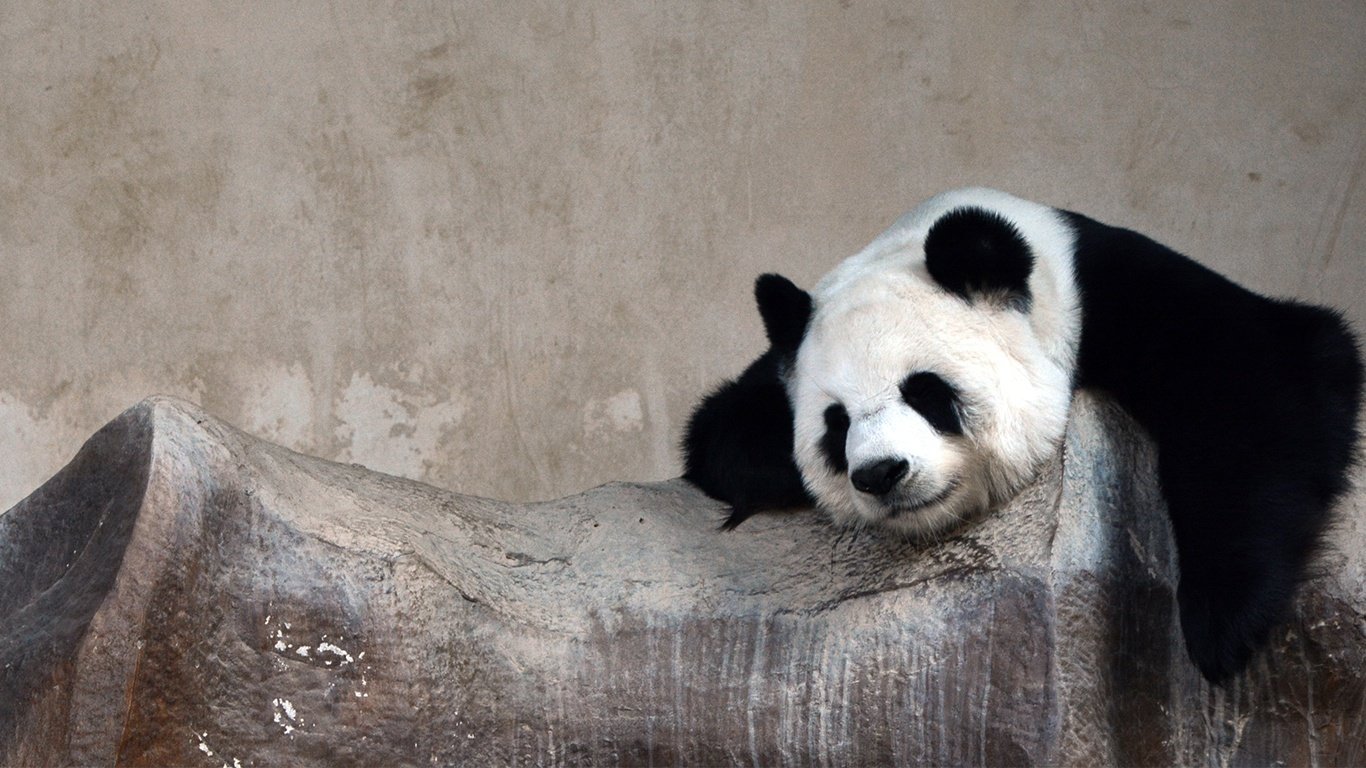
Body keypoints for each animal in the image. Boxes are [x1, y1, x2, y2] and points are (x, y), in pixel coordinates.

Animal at [683, 187, 1363, 683]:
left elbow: (1261, 366)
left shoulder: (1115, 295)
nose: (881, 473)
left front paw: (1223, 618)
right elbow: (715, 434)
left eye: (924, 391)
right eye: (836, 423)